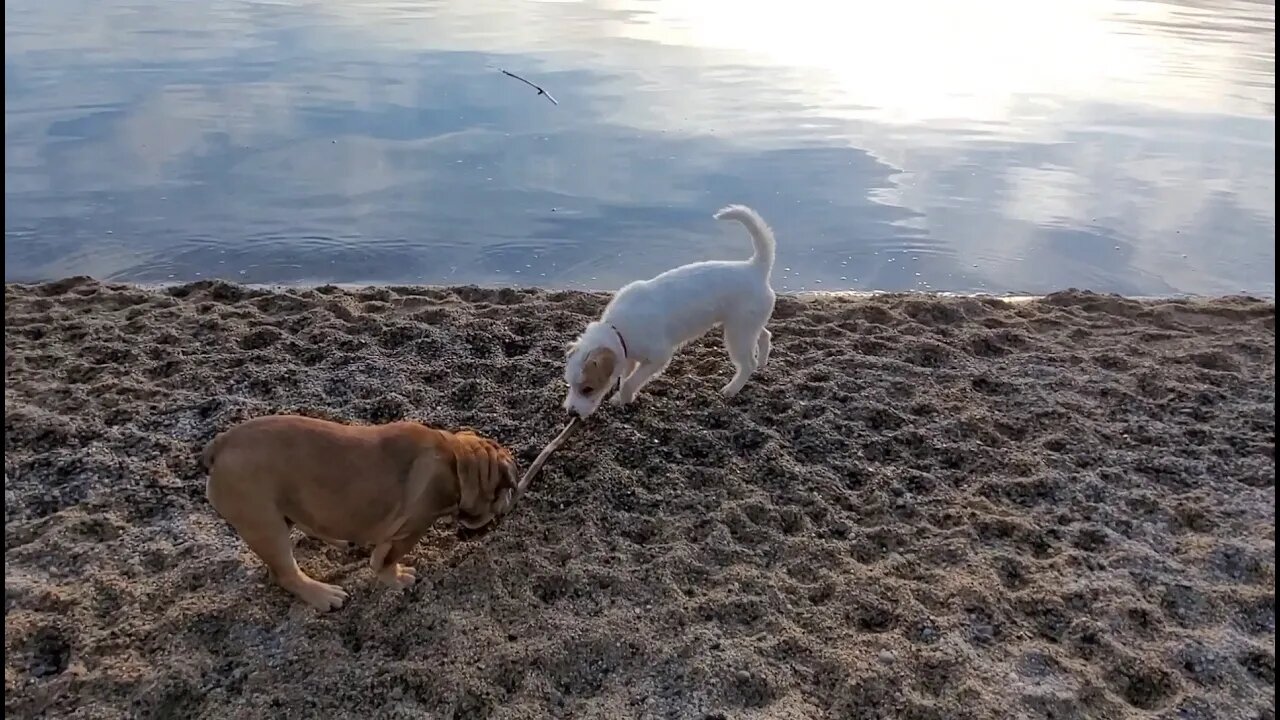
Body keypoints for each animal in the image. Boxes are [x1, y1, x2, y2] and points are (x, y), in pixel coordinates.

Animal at [202, 412, 517, 607]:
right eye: (503, 490)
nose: (505, 508)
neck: (457, 460)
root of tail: (220, 444)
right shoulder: (412, 527)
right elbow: (387, 559)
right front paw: (397, 578)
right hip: (265, 524)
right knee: (285, 573)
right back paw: (323, 594)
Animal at [563, 203, 778, 415]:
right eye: (570, 385)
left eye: (588, 389)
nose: (571, 413)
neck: (619, 330)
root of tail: (756, 267)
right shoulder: (629, 357)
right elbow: (626, 377)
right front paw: (622, 397)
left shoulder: (659, 357)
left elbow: (630, 382)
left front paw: (623, 398)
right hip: (747, 326)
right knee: (765, 335)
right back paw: (762, 362)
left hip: (737, 333)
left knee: (747, 364)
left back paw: (732, 388)